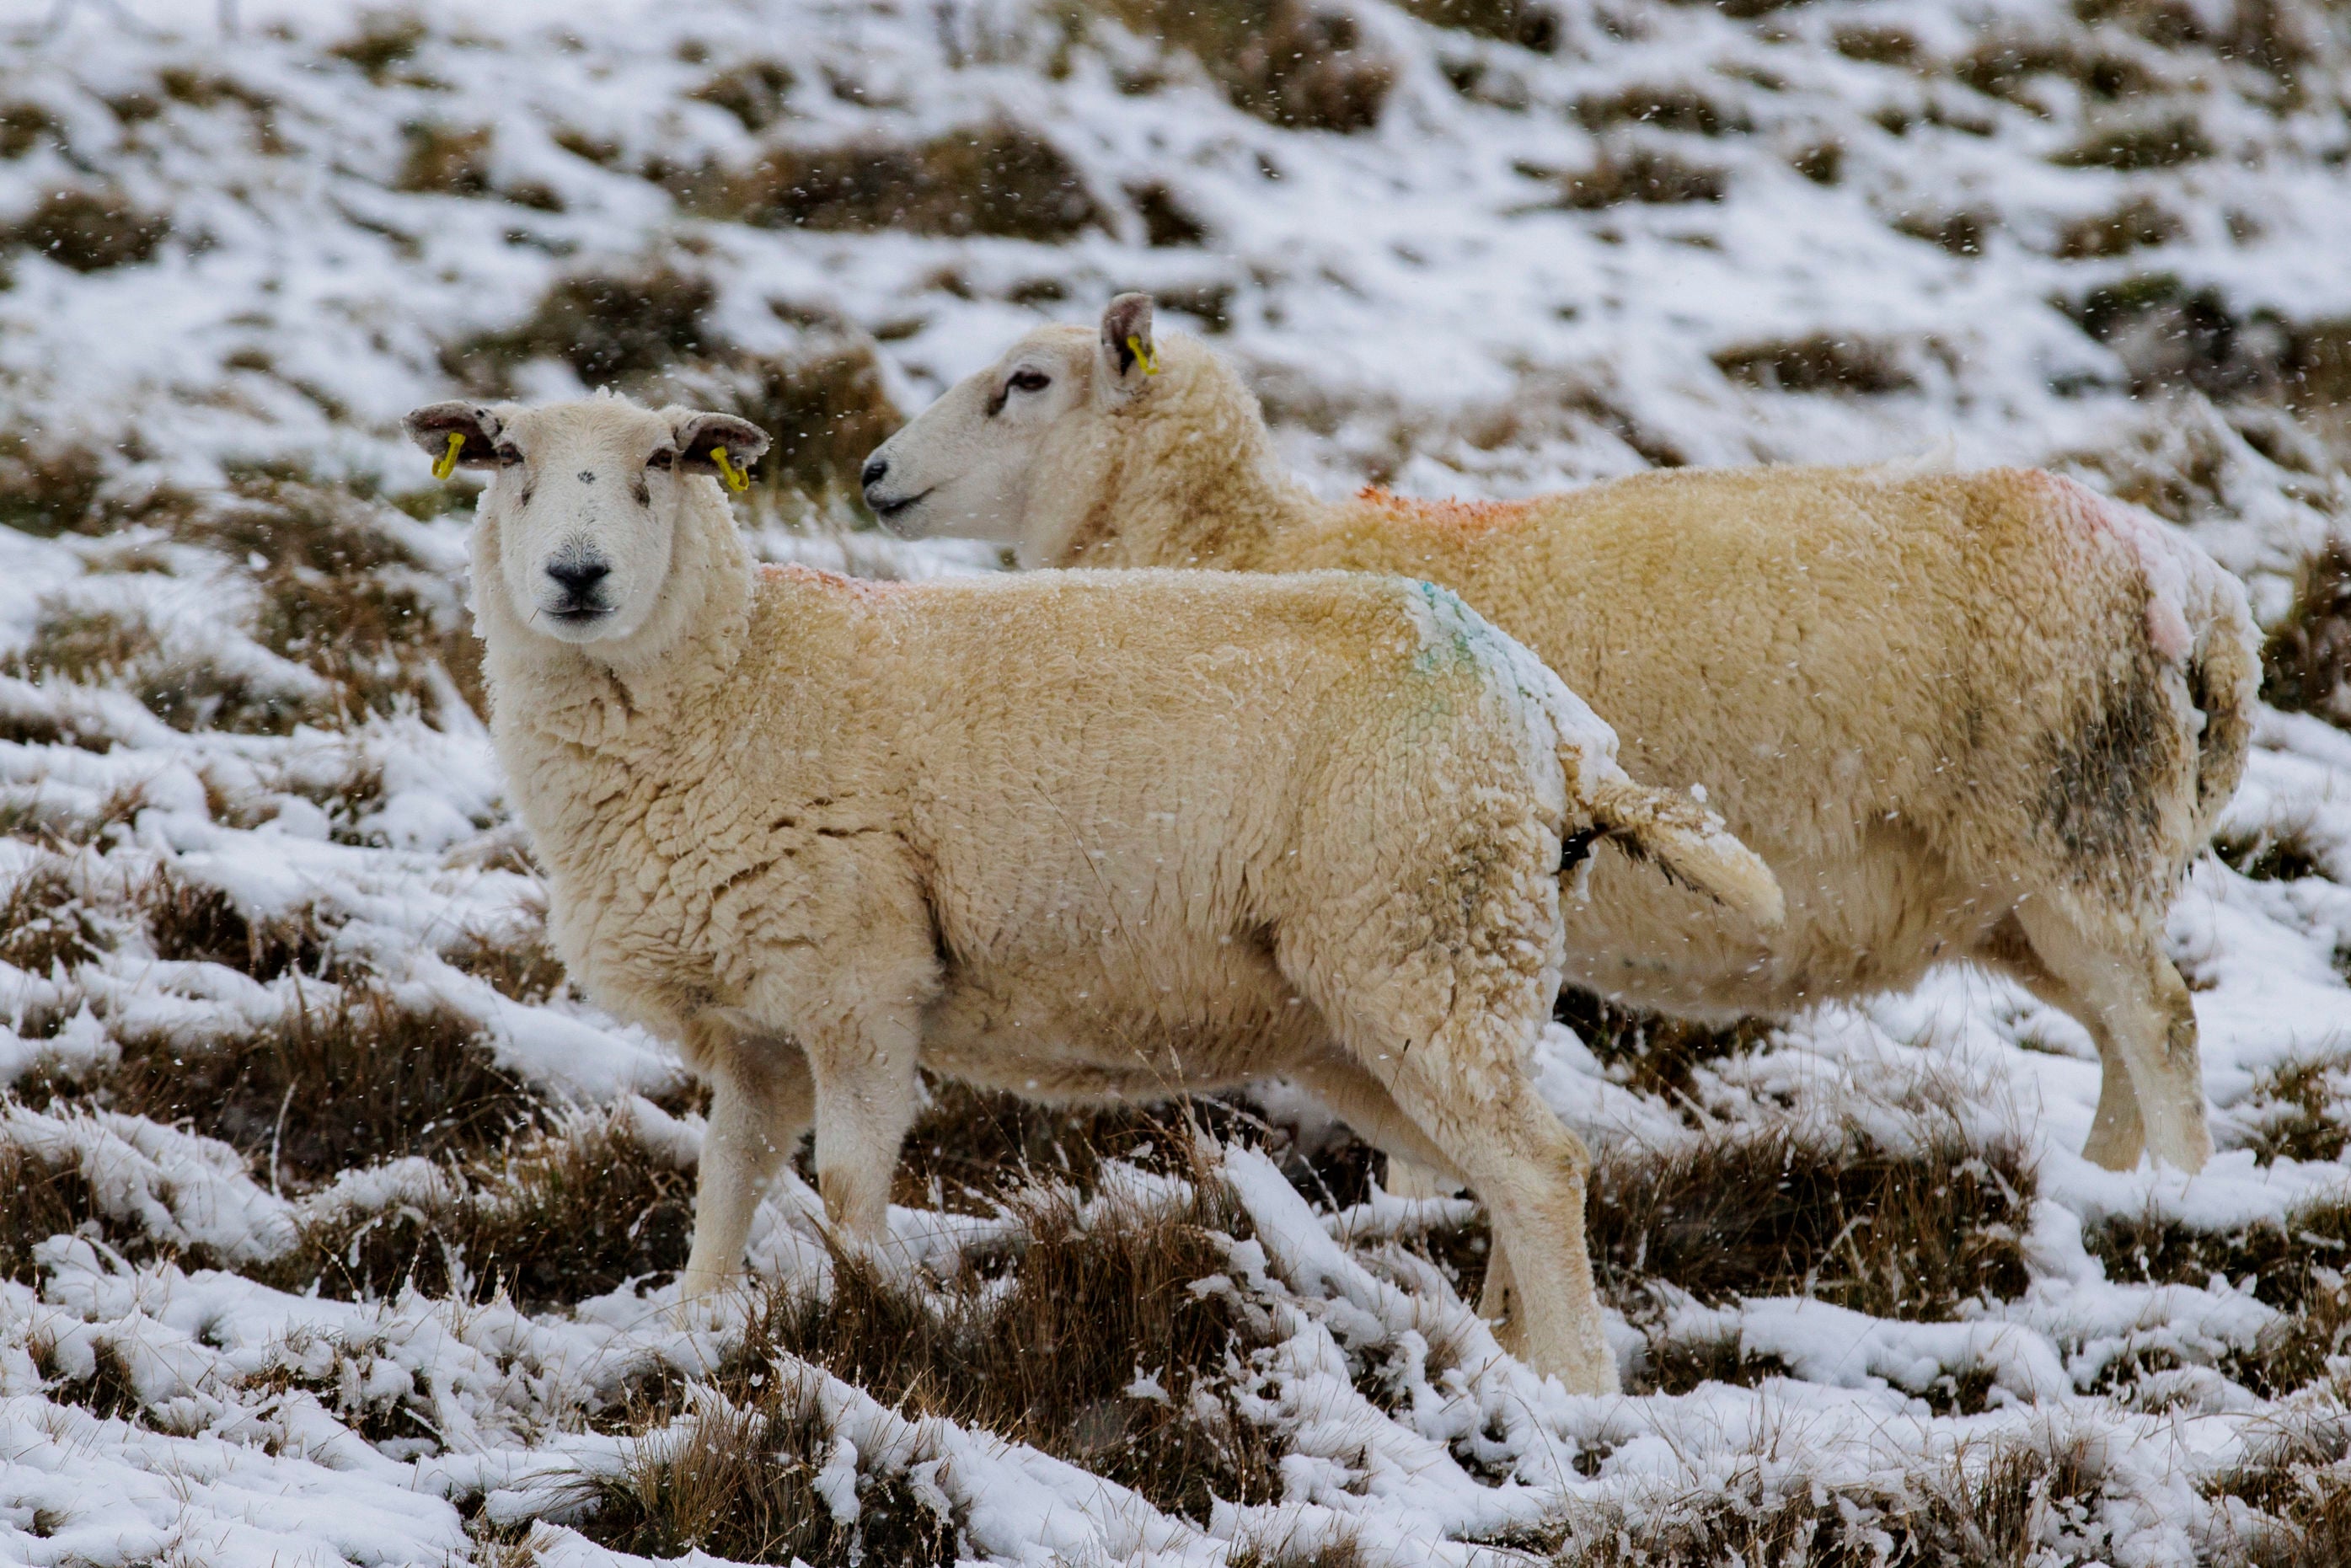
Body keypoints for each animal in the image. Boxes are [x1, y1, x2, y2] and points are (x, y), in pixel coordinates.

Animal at [399, 392, 1777, 1400]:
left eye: (664, 460)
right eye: (506, 457)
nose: (578, 577)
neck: (742, 674)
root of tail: (1549, 715)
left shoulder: (861, 983)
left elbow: (845, 1190)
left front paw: (886, 1318)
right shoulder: (750, 1017)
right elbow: (727, 1181)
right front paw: (692, 1327)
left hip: (1427, 941)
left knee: (1541, 1167)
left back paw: (1578, 1393)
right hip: (1388, 995)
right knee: (1504, 1167)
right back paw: (1511, 1358)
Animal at [860, 293, 2257, 1175]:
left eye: (1024, 383)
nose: (871, 476)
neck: (1240, 546)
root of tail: (2194, 585)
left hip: (2071, 823)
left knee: (2160, 1023)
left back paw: (2173, 1205)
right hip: (2028, 879)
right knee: (2117, 1030)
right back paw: (2107, 1184)